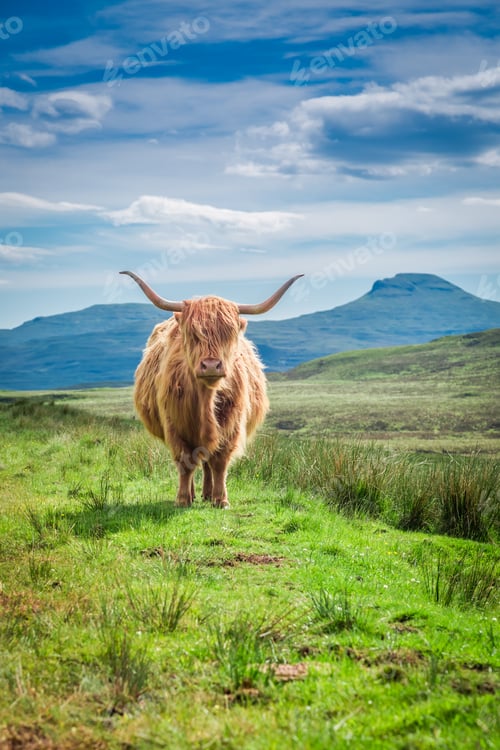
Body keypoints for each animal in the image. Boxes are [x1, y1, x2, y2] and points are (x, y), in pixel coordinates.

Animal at [121, 271, 303, 508]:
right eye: (193, 334)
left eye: (229, 334)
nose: (210, 365)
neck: (205, 399)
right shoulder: (174, 425)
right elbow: (185, 461)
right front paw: (182, 499)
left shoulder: (231, 427)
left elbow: (219, 463)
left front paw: (221, 499)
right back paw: (192, 494)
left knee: (207, 461)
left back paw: (207, 494)